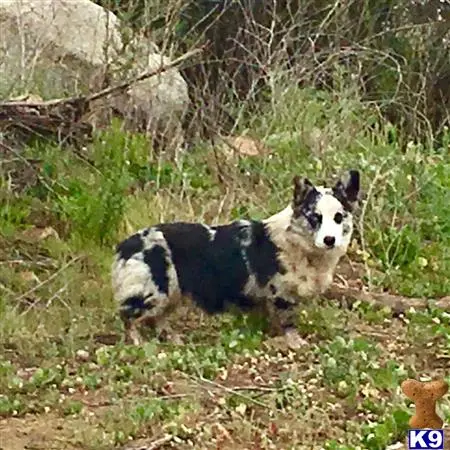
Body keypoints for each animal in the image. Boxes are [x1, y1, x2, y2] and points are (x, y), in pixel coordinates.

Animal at [112, 169, 362, 348]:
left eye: (339, 217)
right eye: (315, 217)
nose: (330, 240)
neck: (301, 245)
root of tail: (126, 245)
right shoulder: (281, 295)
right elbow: (288, 322)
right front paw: (296, 343)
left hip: (171, 295)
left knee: (159, 319)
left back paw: (173, 339)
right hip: (154, 292)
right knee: (130, 318)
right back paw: (137, 342)